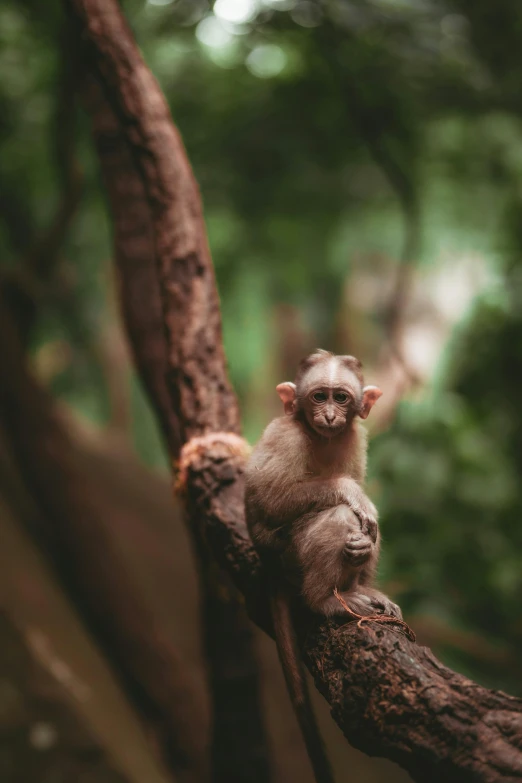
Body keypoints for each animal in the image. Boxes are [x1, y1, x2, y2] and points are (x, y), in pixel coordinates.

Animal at [243, 350, 398, 783]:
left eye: (341, 398)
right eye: (319, 396)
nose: (328, 415)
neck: (323, 437)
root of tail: (271, 567)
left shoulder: (356, 437)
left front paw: (362, 546)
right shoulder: (286, 436)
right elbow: (268, 497)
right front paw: (350, 491)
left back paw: (358, 586)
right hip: (287, 555)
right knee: (339, 515)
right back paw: (324, 600)